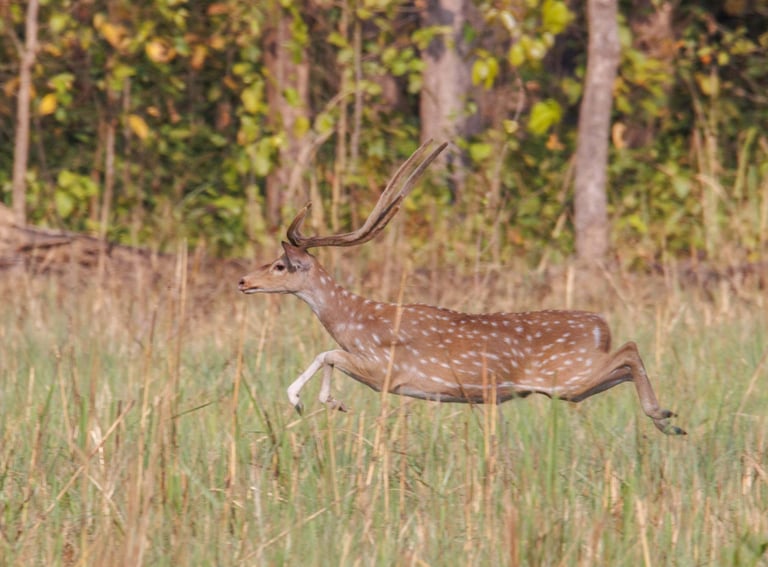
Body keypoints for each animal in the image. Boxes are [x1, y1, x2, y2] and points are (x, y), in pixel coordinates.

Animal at [238, 141, 686, 435]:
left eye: (279, 265)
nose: (243, 280)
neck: (355, 322)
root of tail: (599, 325)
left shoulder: (389, 370)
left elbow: (327, 354)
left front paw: (305, 399)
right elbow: (328, 355)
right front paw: (329, 401)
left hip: (566, 375)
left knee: (629, 350)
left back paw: (663, 416)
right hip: (571, 386)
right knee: (622, 364)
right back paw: (667, 420)